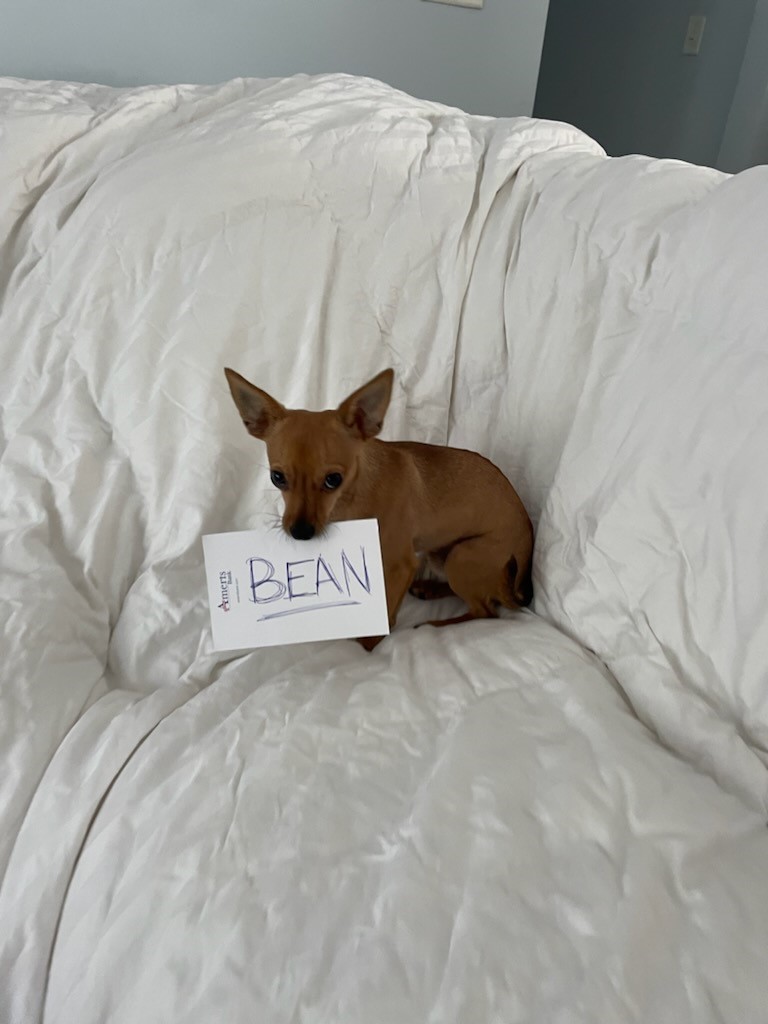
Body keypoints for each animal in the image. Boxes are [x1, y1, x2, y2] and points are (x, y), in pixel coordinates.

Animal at [225, 368, 532, 647]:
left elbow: (387, 607)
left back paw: (437, 624)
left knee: (486, 611)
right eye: (277, 478)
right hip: (440, 554)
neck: (352, 496)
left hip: (462, 556)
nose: (300, 532)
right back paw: (431, 589)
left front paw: (369, 644)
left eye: (333, 480)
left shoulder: (401, 564)